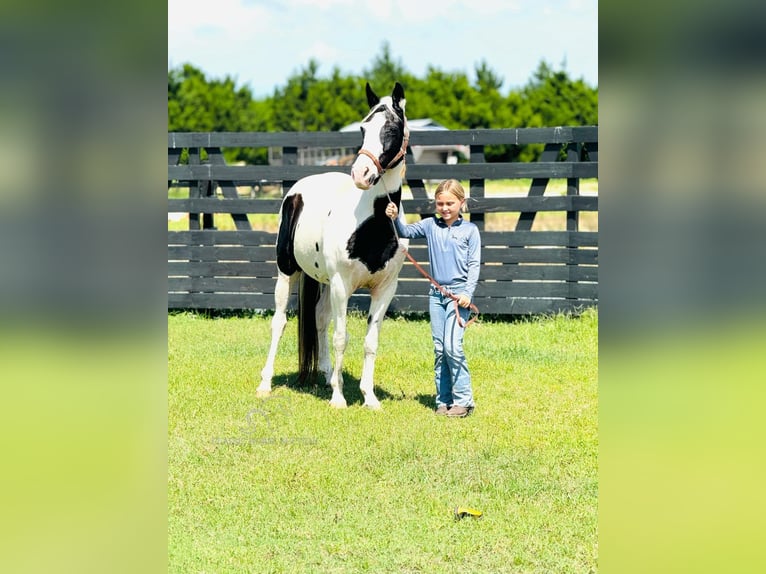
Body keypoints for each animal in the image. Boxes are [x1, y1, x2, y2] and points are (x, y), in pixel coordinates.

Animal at [258, 83, 412, 412]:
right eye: (363, 128)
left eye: (392, 128)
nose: (361, 174)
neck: (373, 221)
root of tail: (298, 189)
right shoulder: (343, 285)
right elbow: (342, 337)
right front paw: (339, 399)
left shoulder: (385, 288)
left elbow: (370, 341)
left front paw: (369, 397)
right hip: (288, 273)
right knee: (279, 322)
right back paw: (265, 383)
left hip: (324, 280)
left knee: (319, 319)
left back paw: (327, 373)